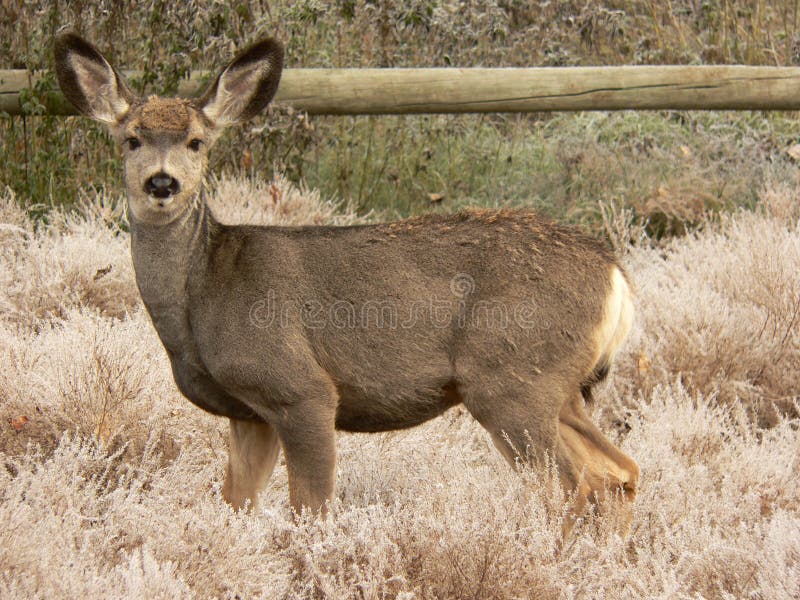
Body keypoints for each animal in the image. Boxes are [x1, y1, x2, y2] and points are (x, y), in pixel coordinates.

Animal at [54, 30, 636, 532]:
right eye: (131, 139)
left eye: (197, 142)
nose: (162, 182)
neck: (204, 292)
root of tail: (617, 276)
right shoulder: (248, 413)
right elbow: (237, 503)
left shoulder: (300, 388)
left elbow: (310, 509)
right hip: (559, 388)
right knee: (620, 472)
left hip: (512, 380)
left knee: (576, 484)